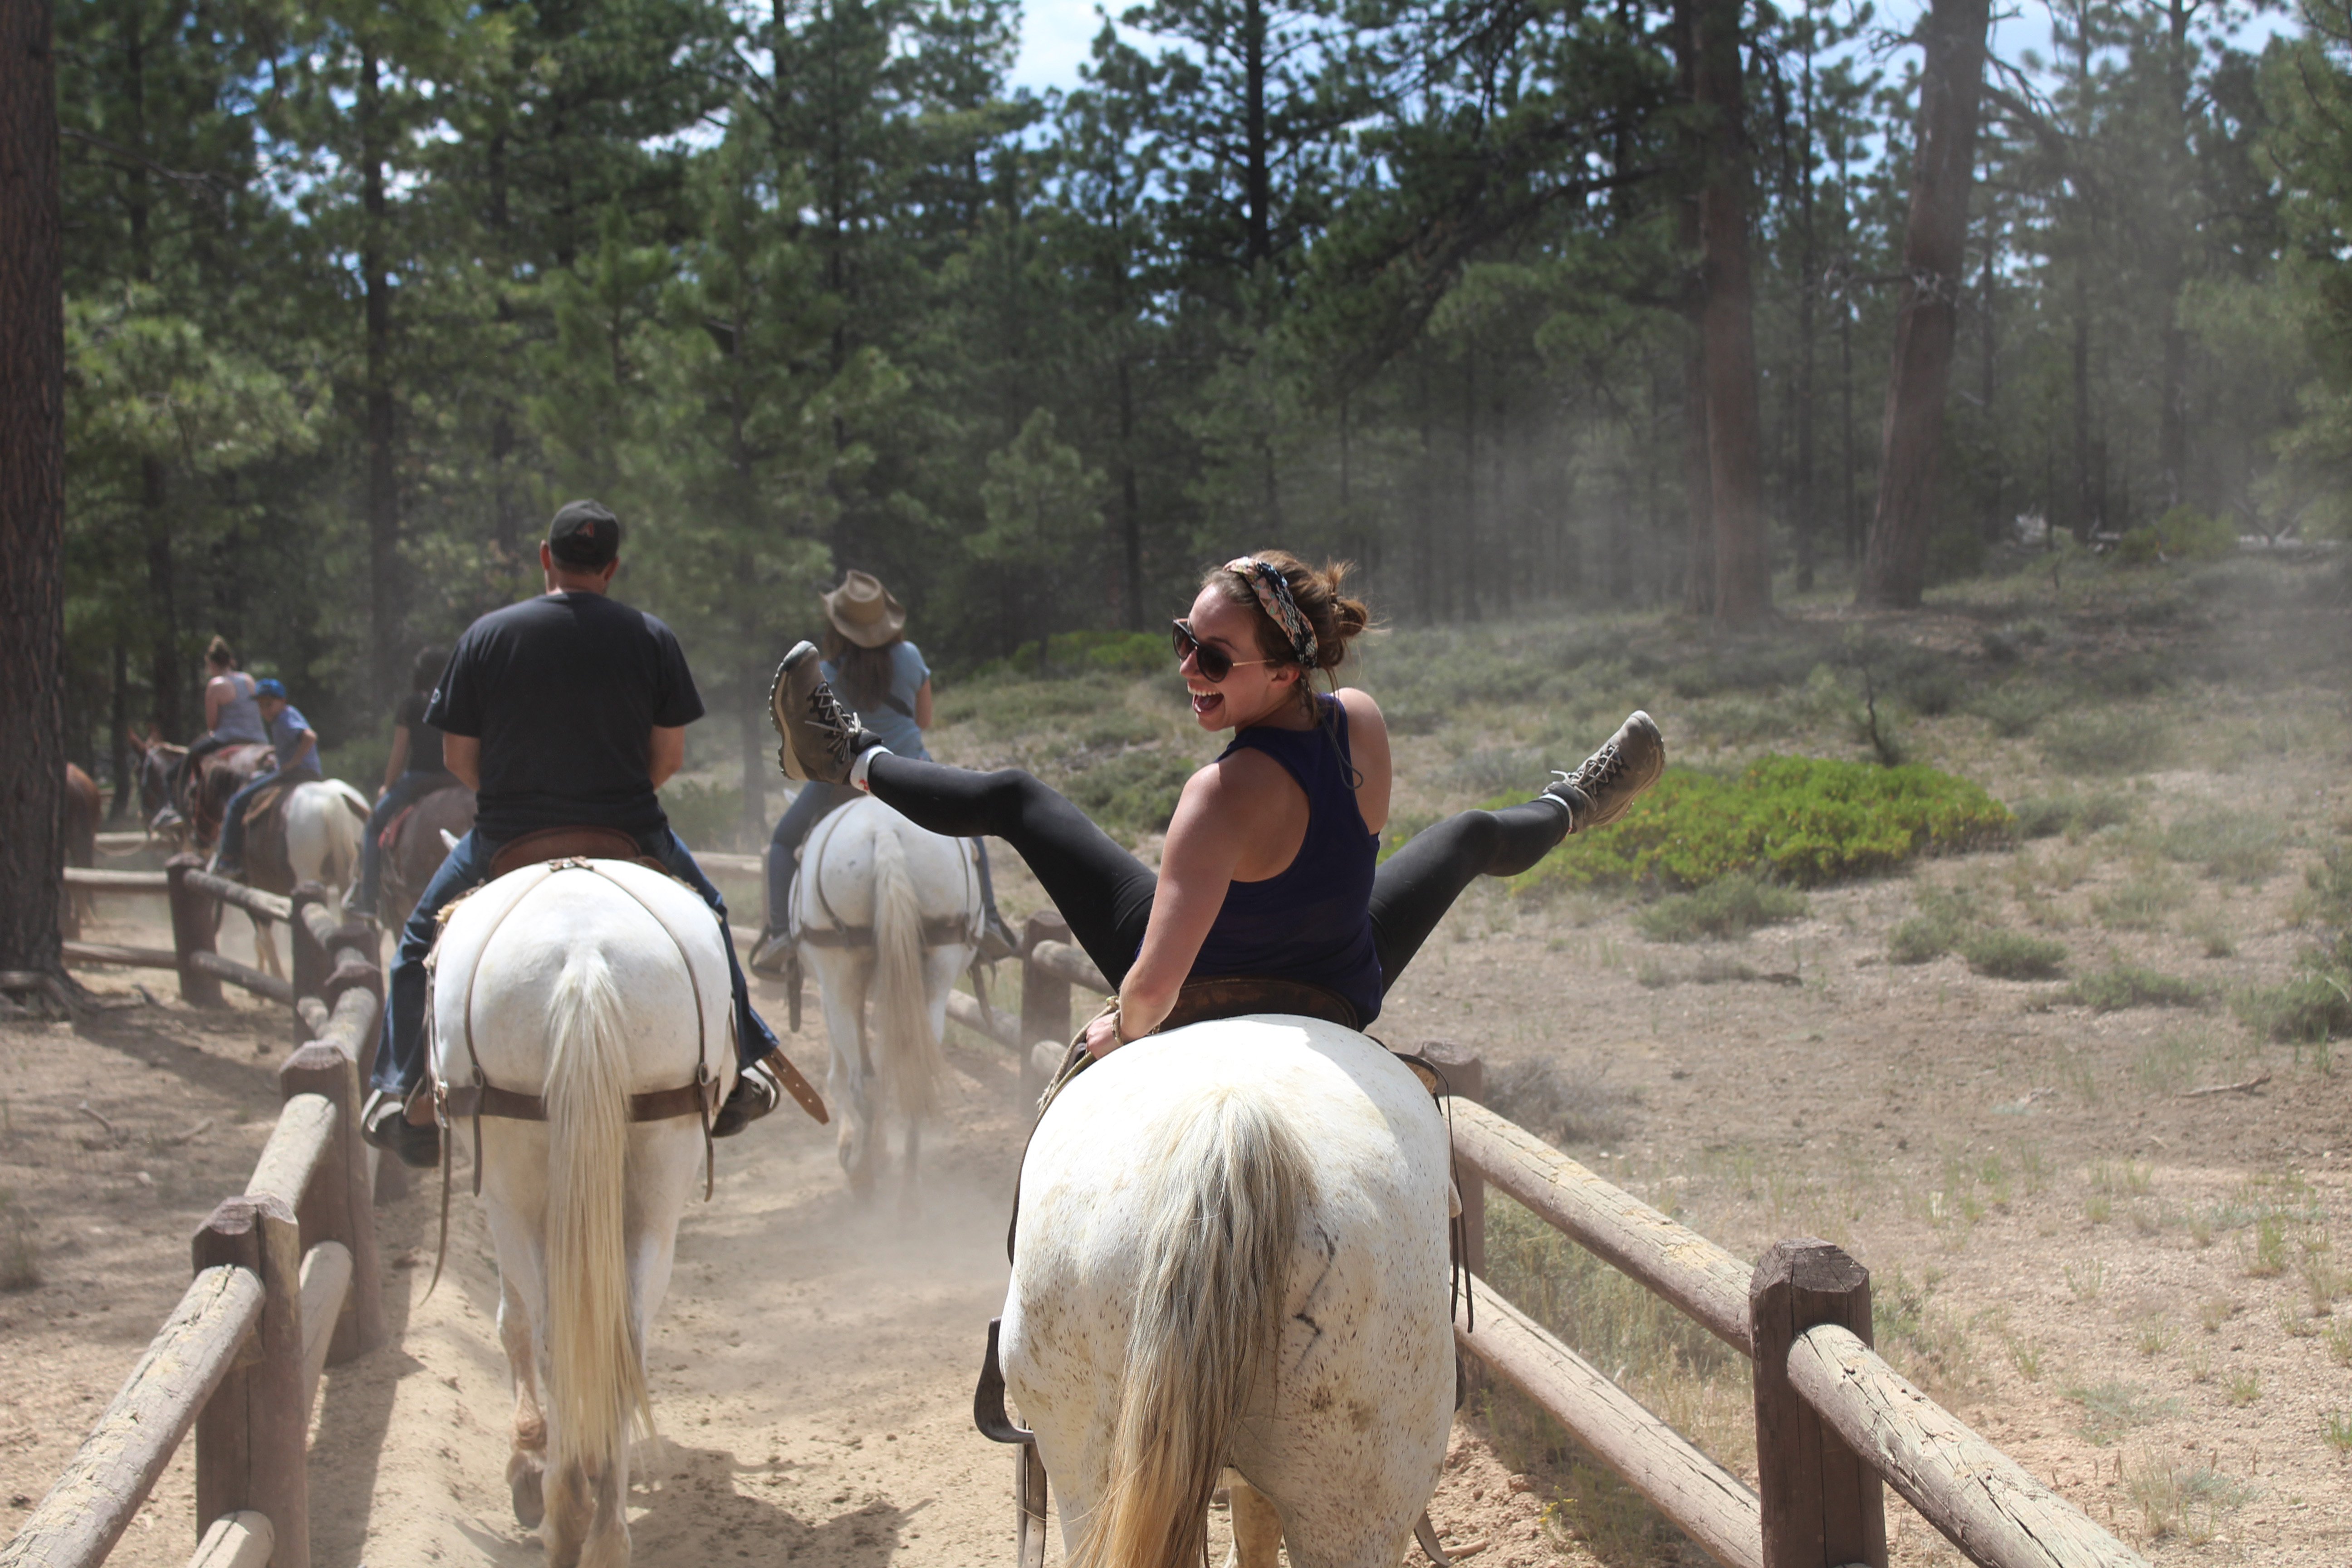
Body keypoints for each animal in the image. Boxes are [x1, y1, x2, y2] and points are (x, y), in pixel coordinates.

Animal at [430, 858, 736, 1568]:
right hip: (660, 1171)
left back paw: (564, 1512)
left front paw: (527, 1462)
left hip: (513, 1184)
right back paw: (604, 1531)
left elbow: (514, 1322)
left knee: (544, 1331)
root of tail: (583, 957)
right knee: (626, 1336)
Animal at [789, 794, 981, 1210]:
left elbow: (843, 1071)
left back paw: (863, 1174)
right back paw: (909, 1195)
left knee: (864, 1083)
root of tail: (885, 832)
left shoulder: (831, 988)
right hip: (937, 969)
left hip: (841, 977)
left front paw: (857, 1148)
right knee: (914, 1074)